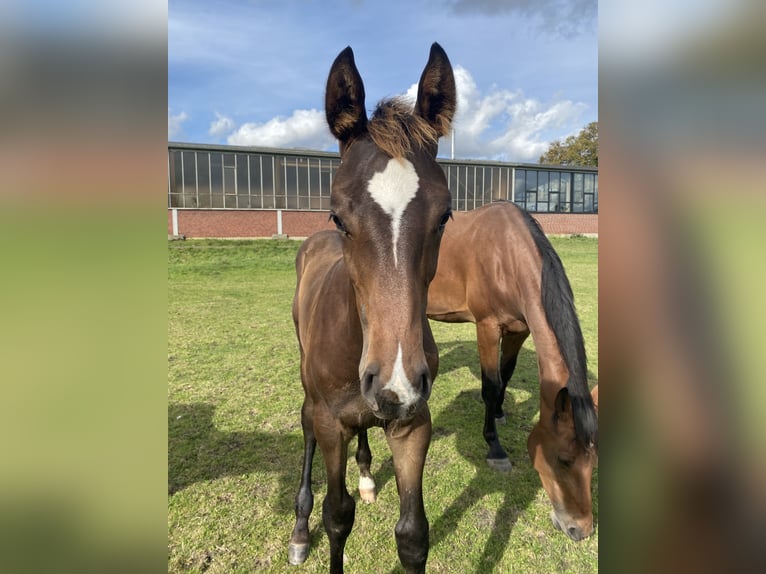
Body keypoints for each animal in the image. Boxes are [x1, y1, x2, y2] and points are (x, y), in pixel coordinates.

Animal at [288, 42, 456, 572]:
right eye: (339, 216)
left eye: (445, 216)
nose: (395, 383)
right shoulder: (330, 422)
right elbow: (337, 516)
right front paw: (316, 524)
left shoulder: (412, 422)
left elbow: (413, 533)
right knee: (304, 428)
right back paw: (298, 529)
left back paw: (365, 473)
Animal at [356, 204, 604, 544]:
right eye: (564, 459)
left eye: (593, 461)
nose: (580, 529)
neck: (506, 255)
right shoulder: (487, 326)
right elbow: (491, 384)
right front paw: (495, 448)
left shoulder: (519, 329)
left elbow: (506, 375)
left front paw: (499, 413)